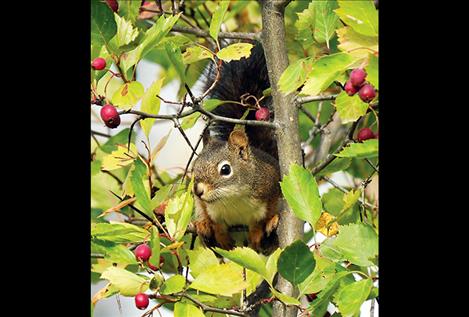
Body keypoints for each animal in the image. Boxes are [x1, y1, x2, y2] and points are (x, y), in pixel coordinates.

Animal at [189, 42, 280, 254]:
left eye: (225, 169)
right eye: (194, 168)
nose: (198, 190)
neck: (232, 199)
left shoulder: (271, 186)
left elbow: (260, 220)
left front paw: (257, 234)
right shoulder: (210, 209)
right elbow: (217, 225)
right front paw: (220, 237)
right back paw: (202, 227)